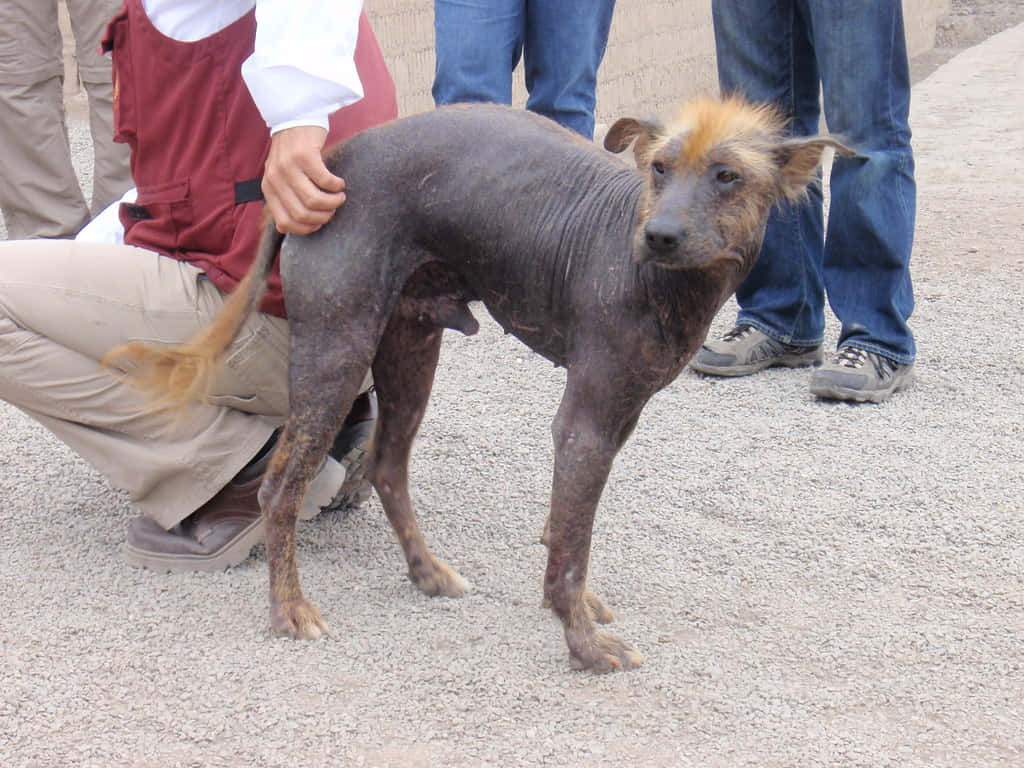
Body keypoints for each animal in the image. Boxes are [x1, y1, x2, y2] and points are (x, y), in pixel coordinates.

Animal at [110, 96, 856, 671]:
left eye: (728, 176)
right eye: (660, 169)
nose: (661, 235)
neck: (657, 279)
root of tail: (335, 160)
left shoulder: (617, 417)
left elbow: (566, 530)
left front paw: (581, 611)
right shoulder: (583, 426)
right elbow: (569, 552)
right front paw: (584, 646)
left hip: (410, 348)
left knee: (386, 465)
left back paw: (427, 572)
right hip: (336, 353)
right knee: (279, 487)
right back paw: (290, 608)